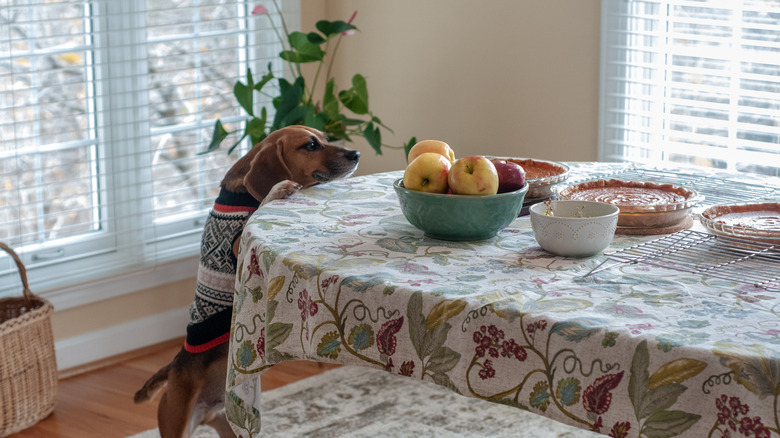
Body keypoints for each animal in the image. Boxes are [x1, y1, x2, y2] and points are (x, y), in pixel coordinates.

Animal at [136, 125, 362, 436]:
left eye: (326, 138)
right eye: (311, 146)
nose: (356, 154)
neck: (241, 195)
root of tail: (174, 368)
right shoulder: (240, 242)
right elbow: (261, 208)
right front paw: (277, 189)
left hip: (233, 427)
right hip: (177, 421)